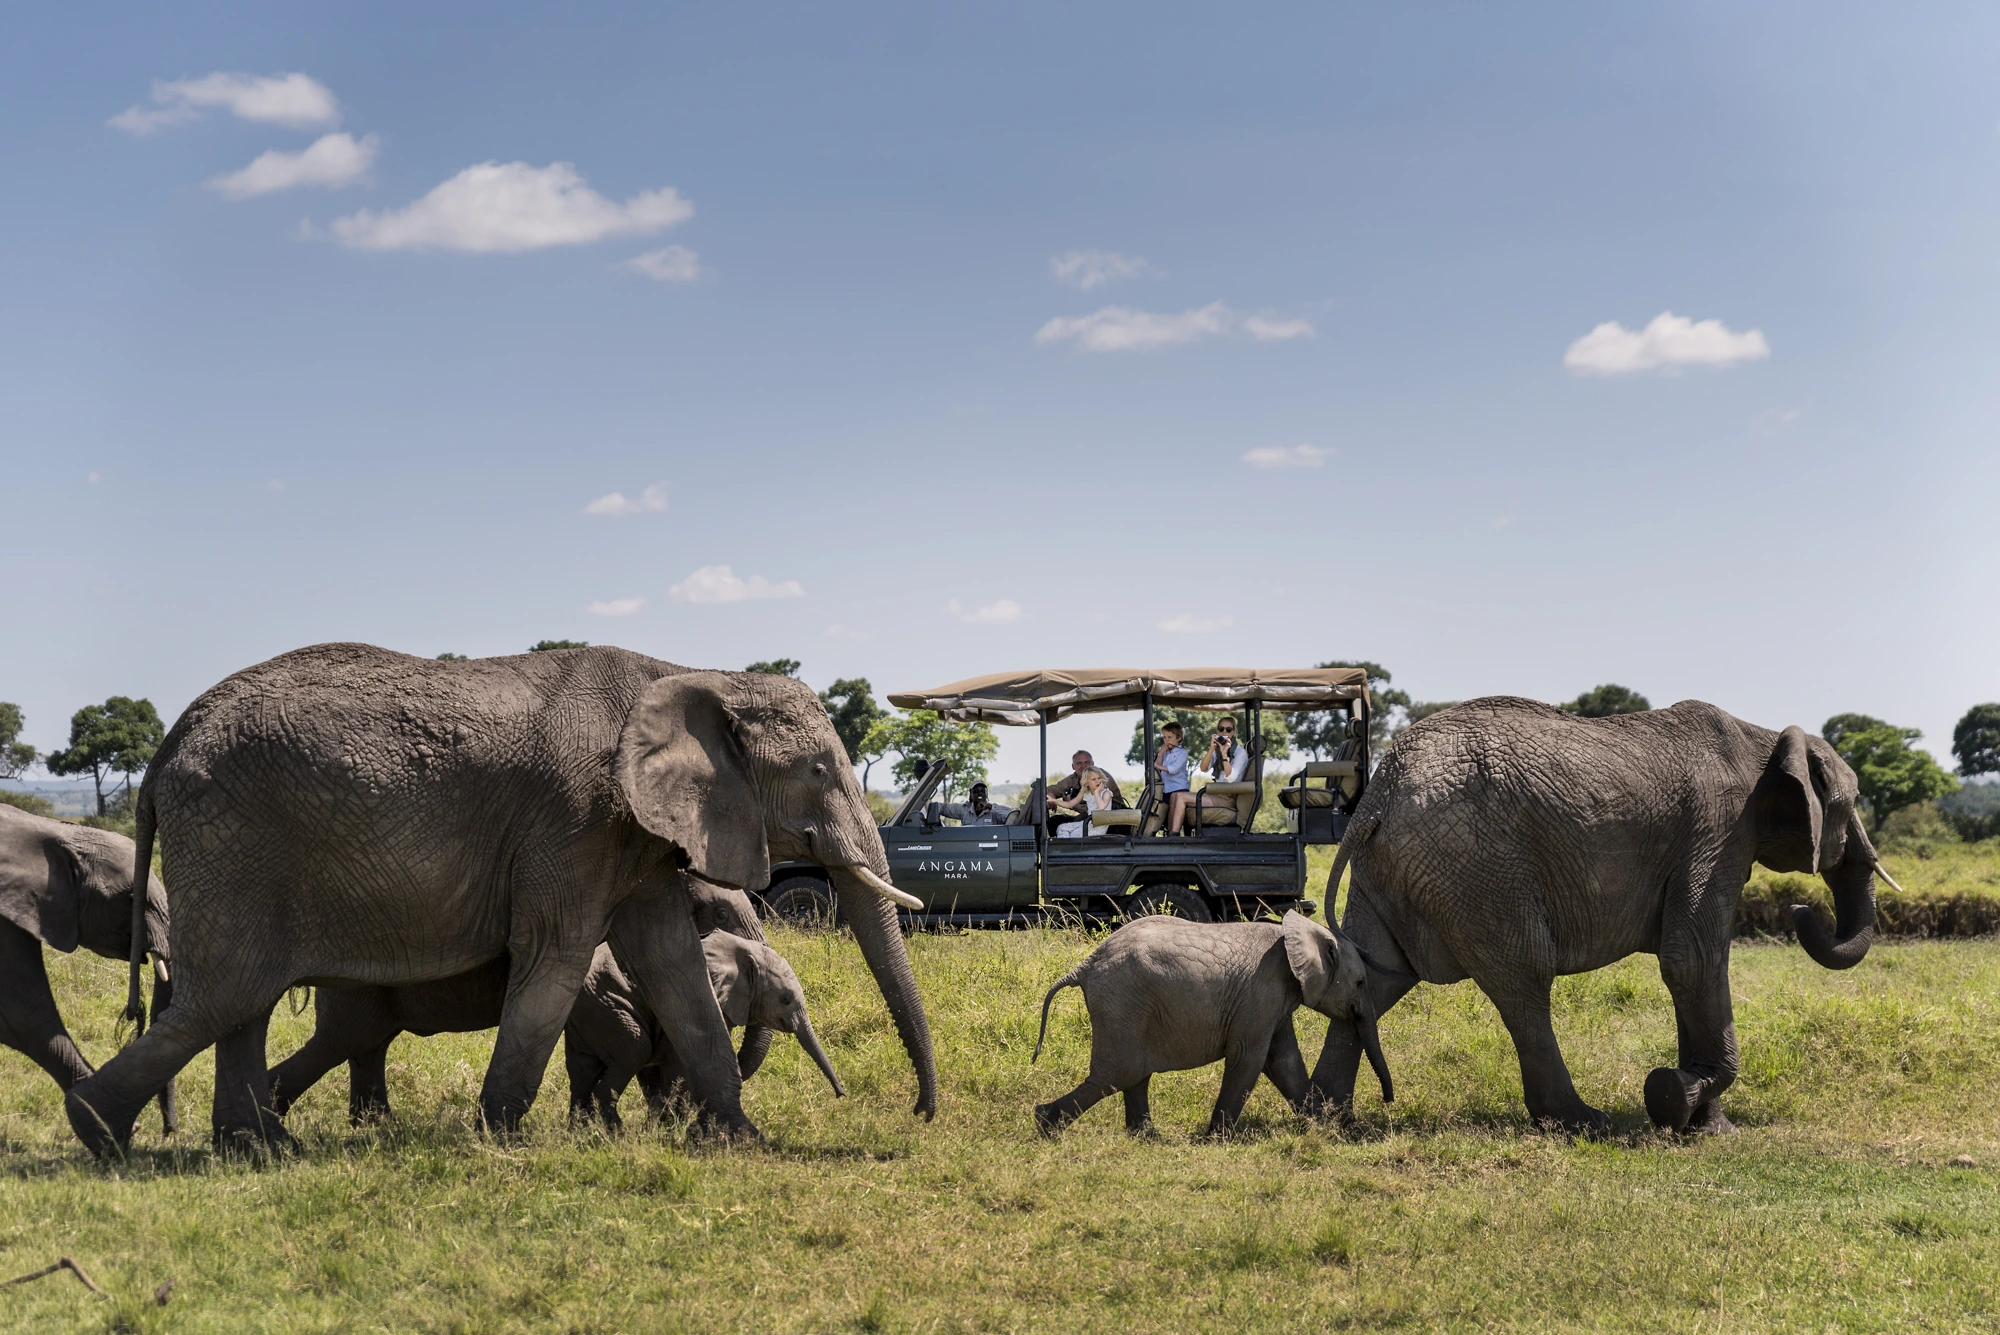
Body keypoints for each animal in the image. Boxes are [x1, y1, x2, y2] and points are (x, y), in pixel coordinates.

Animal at [1032, 911, 1392, 1137]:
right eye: (1360, 983)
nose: (1388, 1102)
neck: (1297, 933)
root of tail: (1086, 965)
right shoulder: (1262, 991)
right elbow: (1250, 1059)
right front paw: (1216, 1139)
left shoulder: (1274, 1001)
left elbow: (1285, 1062)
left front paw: (1322, 1127)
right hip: (1123, 1003)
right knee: (1117, 1074)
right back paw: (1045, 1125)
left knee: (1133, 1075)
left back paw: (1147, 1138)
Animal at [1309, 696, 1894, 1136]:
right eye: (1852, 802)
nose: (1802, 908)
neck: (1764, 738)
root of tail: (1378, 793)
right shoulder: (1719, 832)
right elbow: (1693, 959)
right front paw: (1673, 1097)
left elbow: (1688, 966)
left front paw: (1705, 1124)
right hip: (1474, 865)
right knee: (1525, 980)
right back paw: (1583, 1123)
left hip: (1401, 867)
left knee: (1375, 978)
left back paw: (1324, 1116)